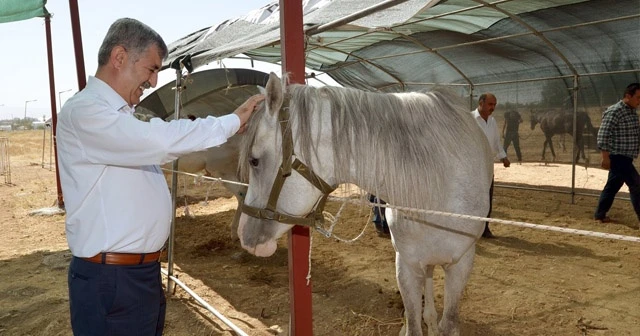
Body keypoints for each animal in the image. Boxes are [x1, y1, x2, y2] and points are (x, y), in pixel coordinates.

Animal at [238, 73, 492, 336]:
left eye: (254, 161)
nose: (244, 236)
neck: (434, 193)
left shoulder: (461, 266)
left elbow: (449, 323)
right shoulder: (407, 265)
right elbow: (413, 323)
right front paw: (413, 323)